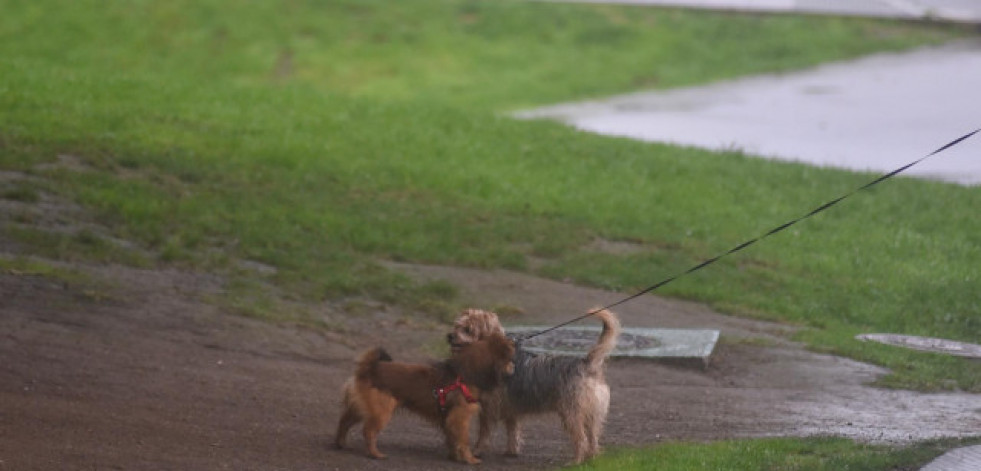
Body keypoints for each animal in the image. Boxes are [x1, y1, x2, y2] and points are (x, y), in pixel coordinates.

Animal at [334, 332, 512, 464]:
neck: (464, 374)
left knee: (344, 421)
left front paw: (454, 457)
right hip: (381, 412)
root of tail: (369, 368)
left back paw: (341, 443)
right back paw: (375, 454)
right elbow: (463, 440)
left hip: (362, 407)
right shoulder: (460, 417)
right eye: (510, 360)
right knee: (368, 431)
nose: (514, 367)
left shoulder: (449, 418)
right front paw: (469, 459)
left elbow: (453, 439)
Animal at [446, 306, 616, 464]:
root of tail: (587, 363)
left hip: (571, 413)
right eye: (456, 325)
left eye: (468, 330)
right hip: (592, 414)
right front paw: (512, 451)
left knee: (581, 439)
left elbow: (484, 434)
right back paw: (591, 459)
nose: (449, 336)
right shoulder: (511, 410)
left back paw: (576, 461)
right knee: (593, 438)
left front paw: (476, 451)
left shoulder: (489, 409)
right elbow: (513, 431)